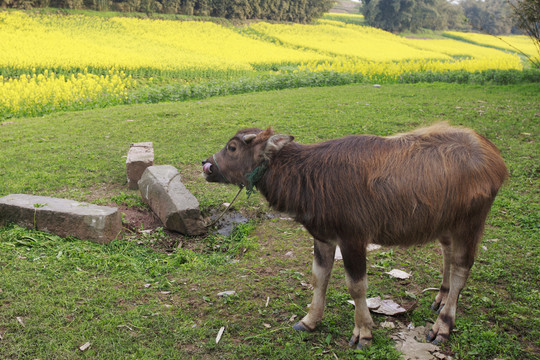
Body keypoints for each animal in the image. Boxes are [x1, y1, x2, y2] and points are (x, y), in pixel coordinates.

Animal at [201, 124, 506, 348]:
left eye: (232, 147)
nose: (207, 165)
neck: (310, 174)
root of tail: (494, 156)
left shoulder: (353, 239)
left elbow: (356, 286)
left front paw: (363, 332)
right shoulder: (323, 237)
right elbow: (319, 278)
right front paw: (309, 320)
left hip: (471, 223)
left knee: (461, 269)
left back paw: (443, 324)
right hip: (445, 222)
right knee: (447, 253)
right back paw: (440, 296)